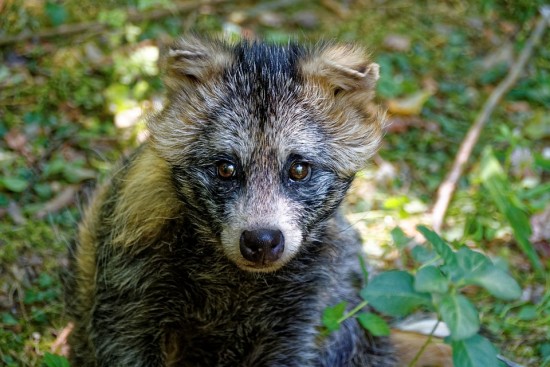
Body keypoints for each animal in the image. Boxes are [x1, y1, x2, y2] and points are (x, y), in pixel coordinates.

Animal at [68, 36, 396, 366]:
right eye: (226, 168)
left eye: (299, 169)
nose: (262, 241)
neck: (238, 277)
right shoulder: (130, 275)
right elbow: (123, 344)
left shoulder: (306, 306)